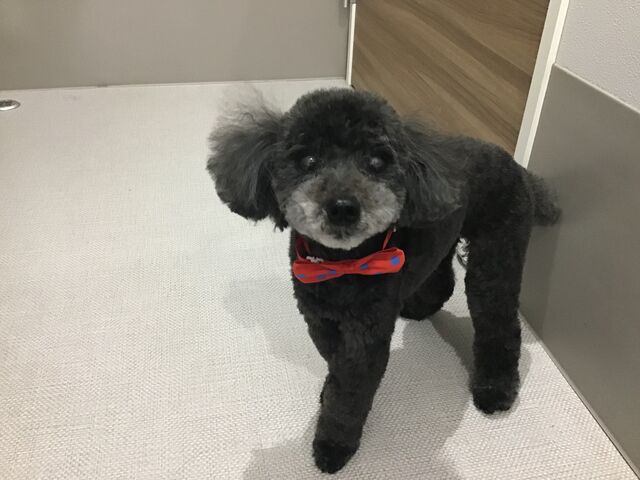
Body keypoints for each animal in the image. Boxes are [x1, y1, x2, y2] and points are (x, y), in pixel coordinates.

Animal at [206, 88, 560, 474]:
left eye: (376, 161)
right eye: (308, 160)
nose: (342, 207)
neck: (342, 264)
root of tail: (516, 165)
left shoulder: (367, 333)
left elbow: (351, 393)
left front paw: (333, 445)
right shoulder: (319, 318)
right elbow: (334, 363)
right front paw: (327, 388)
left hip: (497, 255)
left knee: (499, 322)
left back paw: (495, 390)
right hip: (442, 234)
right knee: (441, 277)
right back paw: (420, 307)